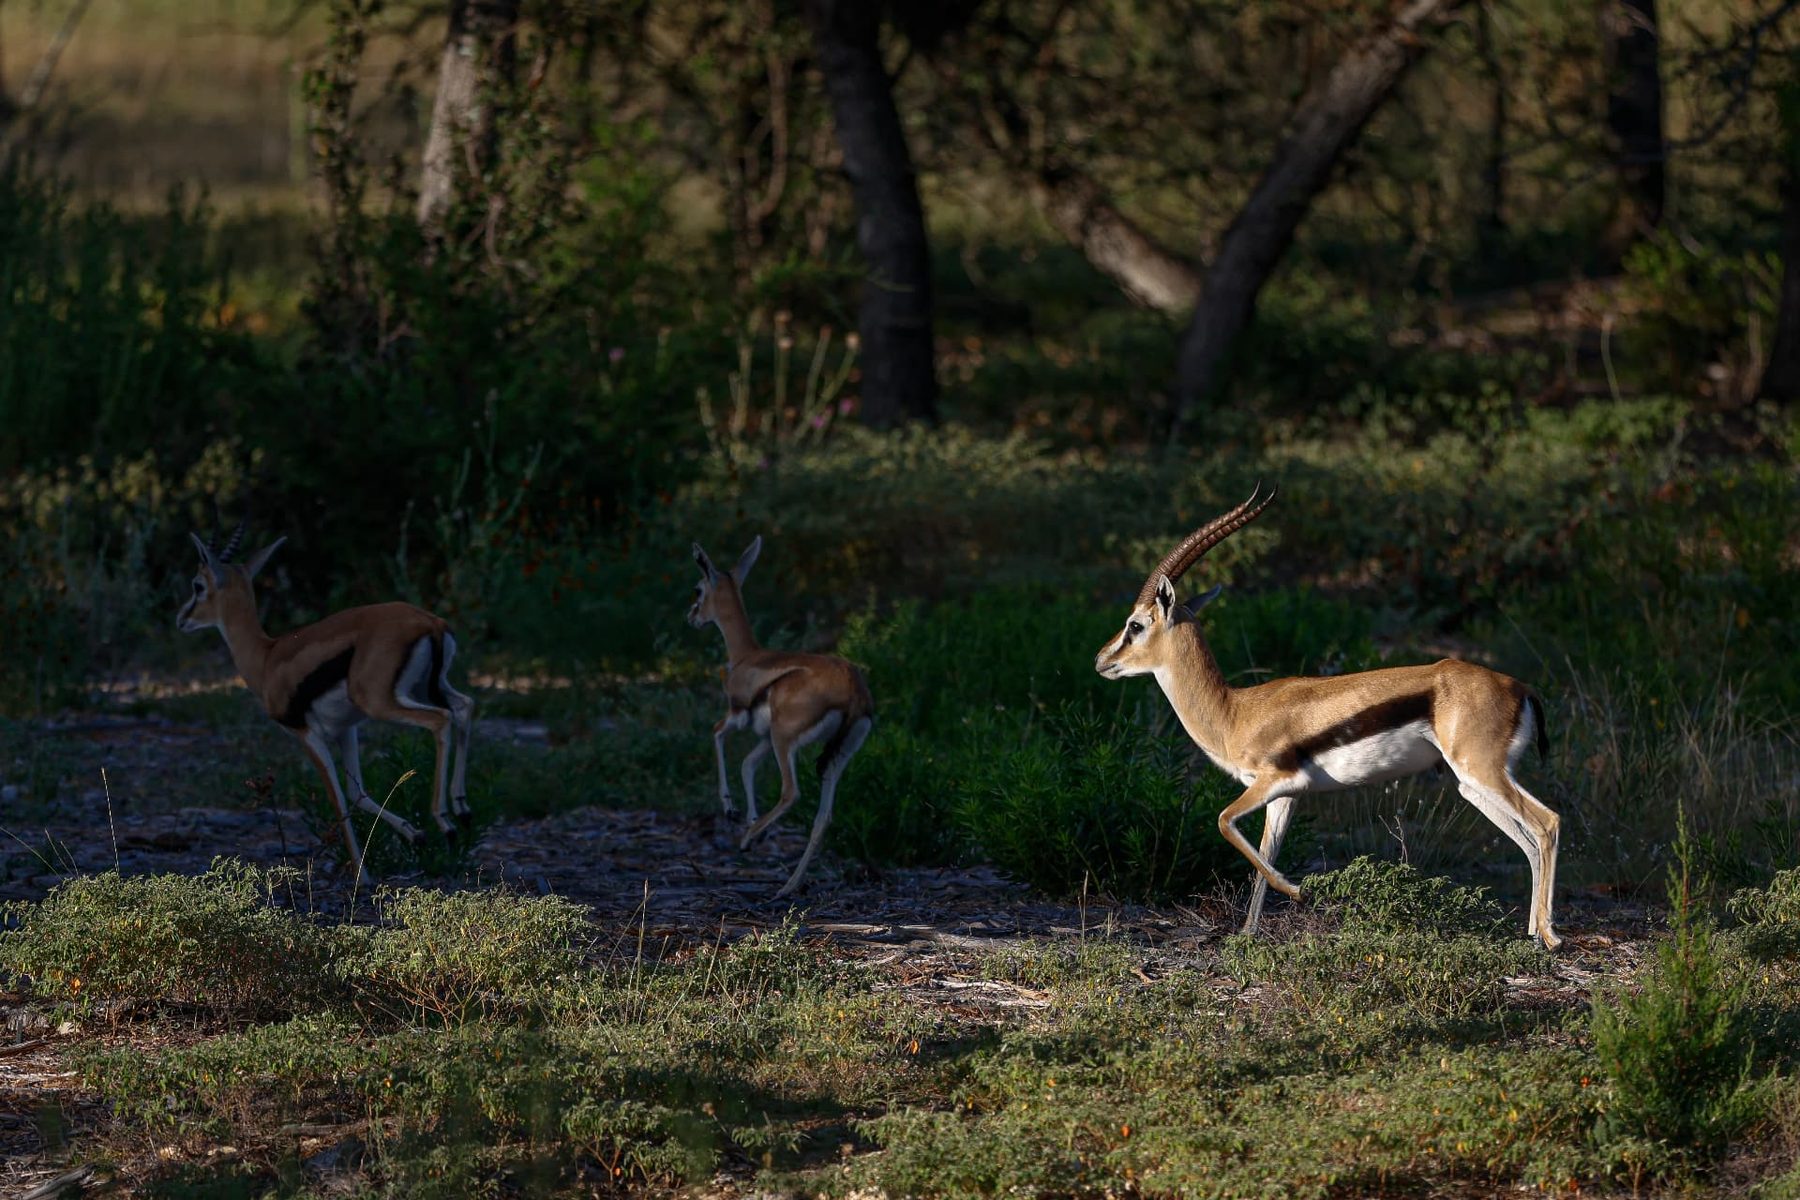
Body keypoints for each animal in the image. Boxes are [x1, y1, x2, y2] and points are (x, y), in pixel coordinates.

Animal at [177, 523, 475, 885]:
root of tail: (431, 623)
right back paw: (462, 809)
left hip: (382, 702)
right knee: (463, 706)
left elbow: (337, 799)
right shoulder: (347, 729)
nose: (181, 619)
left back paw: (445, 821)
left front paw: (362, 876)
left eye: (198, 585)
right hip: (427, 688)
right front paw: (413, 834)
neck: (266, 658)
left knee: (441, 719)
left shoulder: (307, 734)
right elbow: (357, 793)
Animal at [688, 537, 874, 898]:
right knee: (823, 818)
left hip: (785, 741)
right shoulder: (763, 737)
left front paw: (734, 812)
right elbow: (747, 763)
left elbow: (716, 733)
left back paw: (749, 842)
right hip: (836, 753)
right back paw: (787, 886)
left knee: (792, 792)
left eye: (699, 588)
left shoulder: (739, 717)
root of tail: (853, 690)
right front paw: (748, 817)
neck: (746, 657)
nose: (692, 617)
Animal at [1095, 485, 1562, 949]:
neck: (1234, 711)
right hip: (1473, 784)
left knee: (1547, 824)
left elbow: (1224, 822)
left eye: (1135, 625)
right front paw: (1247, 933)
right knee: (1527, 839)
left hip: (1481, 772)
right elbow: (1264, 851)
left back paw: (1552, 936)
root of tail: (1521, 688)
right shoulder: (1283, 797)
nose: (1101, 660)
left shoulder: (1275, 781)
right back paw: (1531, 934)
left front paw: (1296, 889)